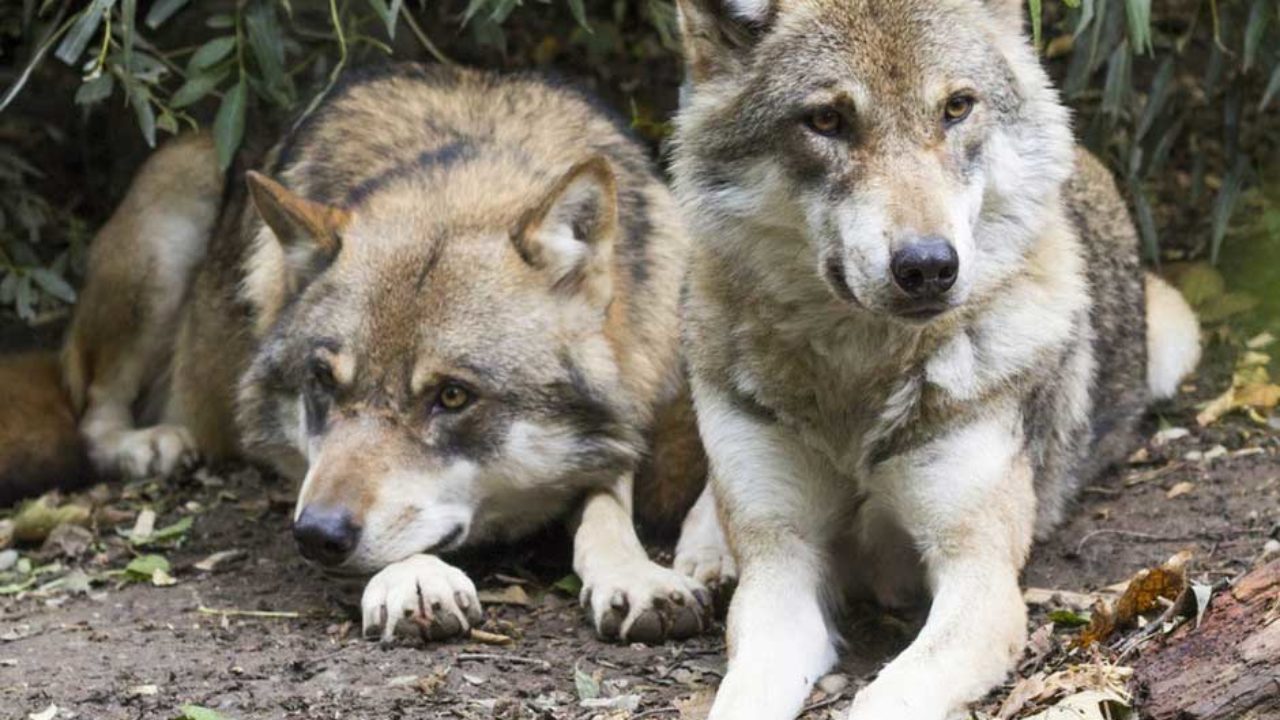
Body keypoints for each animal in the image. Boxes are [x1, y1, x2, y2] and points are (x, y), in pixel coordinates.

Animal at [2, 64, 742, 640]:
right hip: (174, 201)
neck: (466, 170)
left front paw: (642, 573)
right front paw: (413, 580)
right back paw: (147, 443)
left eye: (452, 396)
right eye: (323, 384)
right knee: (91, 408)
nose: (316, 536)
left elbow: (615, 501)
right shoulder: (304, 467)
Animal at [670, 1, 1198, 717]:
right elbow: (742, 693)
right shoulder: (782, 567)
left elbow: (885, 698)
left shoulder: (979, 576)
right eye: (827, 120)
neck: (856, 382)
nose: (927, 267)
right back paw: (702, 556)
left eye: (956, 107)